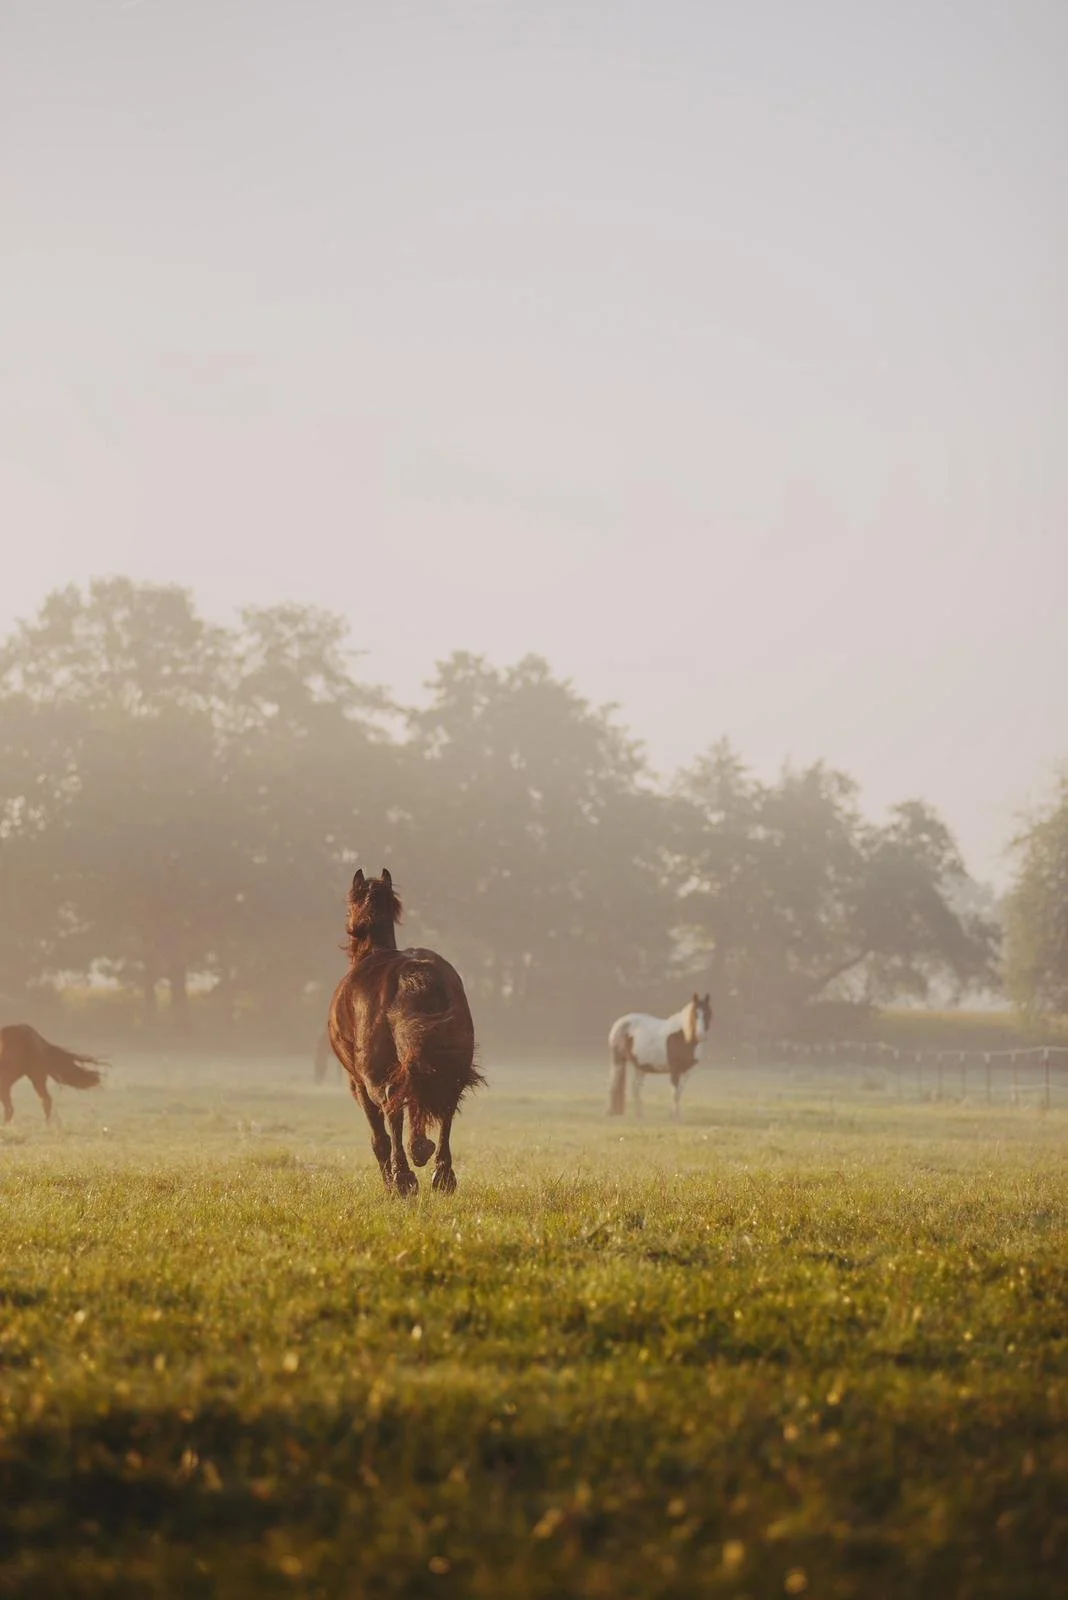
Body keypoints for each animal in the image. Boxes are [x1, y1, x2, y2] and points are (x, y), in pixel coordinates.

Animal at [327, 868, 484, 1195]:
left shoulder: (358, 1084)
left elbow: (380, 1137)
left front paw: (394, 1178)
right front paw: (420, 1146)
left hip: (374, 1076)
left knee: (392, 1104)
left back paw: (403, 1178)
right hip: (448, 1062)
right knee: (446, 1102)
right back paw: (440, 1172)